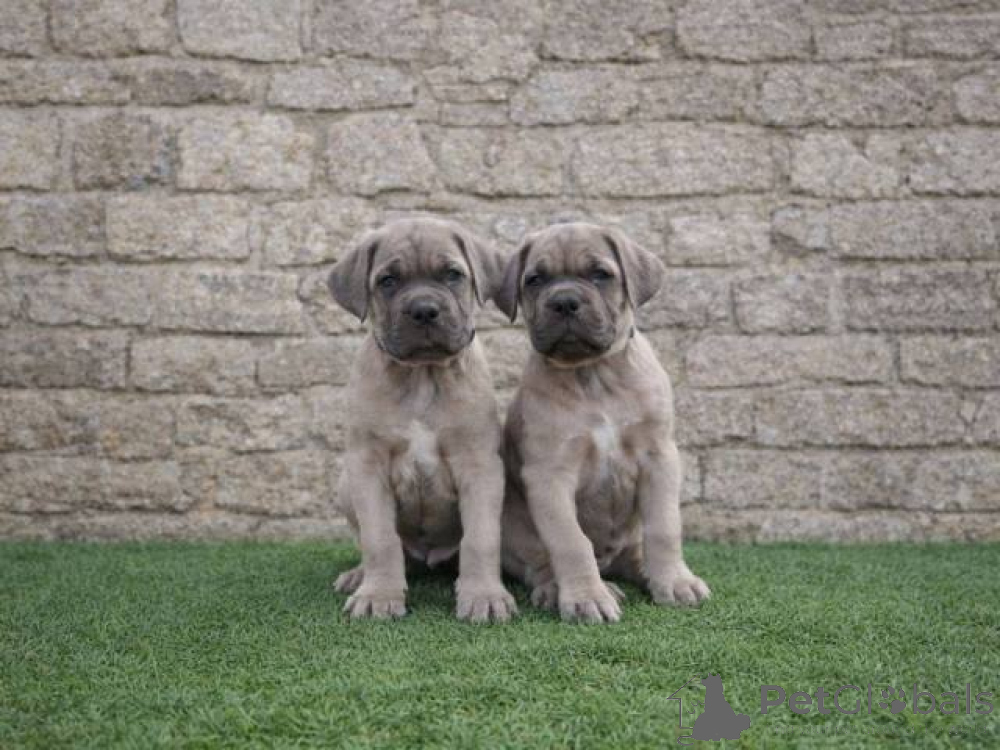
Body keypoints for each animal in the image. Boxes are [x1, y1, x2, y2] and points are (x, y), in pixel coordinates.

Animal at [328, 217, 517, 622]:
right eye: (387, 281)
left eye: (452, 274)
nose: (424, 310)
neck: (422, 376)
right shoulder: (367, 467)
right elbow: (379, 539)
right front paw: (379, 596)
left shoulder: (480, 466)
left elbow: (481, 538)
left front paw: (484, 595)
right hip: (346, 484)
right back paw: (359, 576)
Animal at [494, 222, 710, 623]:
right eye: (535, 279)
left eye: (600, 274)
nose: (564, 302)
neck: (594, 374)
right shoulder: (549, 474)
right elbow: (570, 540)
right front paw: (586, 598)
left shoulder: (659, 457)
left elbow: (664, 528)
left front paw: (675, 581)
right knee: (541, 562)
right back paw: (567, 588)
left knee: (639, 551)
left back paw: (649, 574)